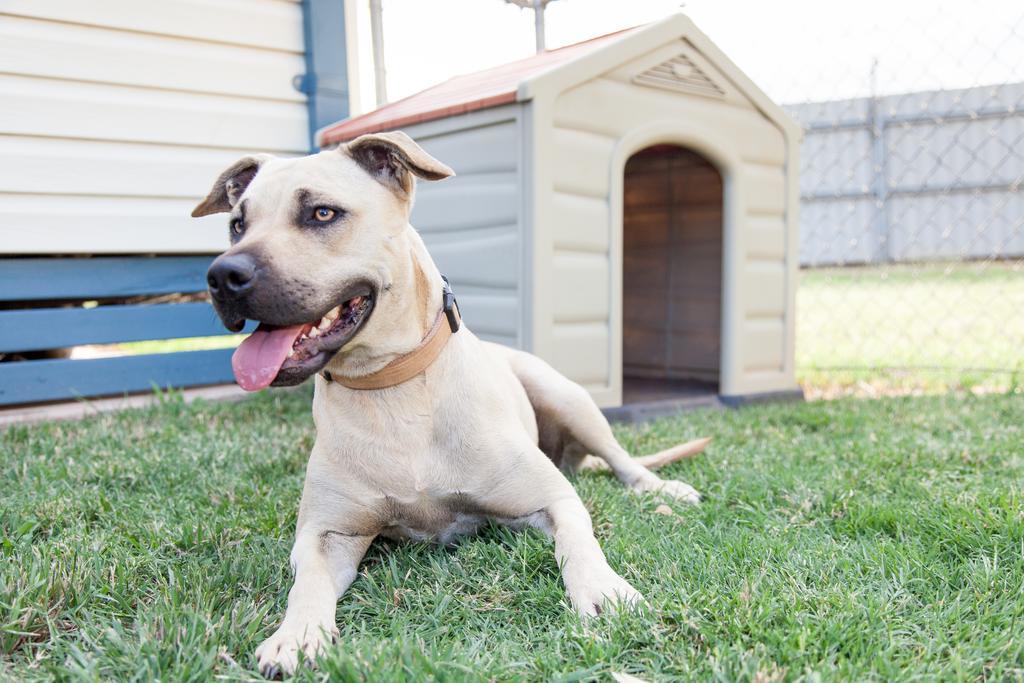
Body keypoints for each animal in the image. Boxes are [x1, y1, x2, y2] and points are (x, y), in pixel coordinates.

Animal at [190, 133, 704, 679]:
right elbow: (307, 580)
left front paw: (604, 590)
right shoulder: (325, 533)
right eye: (237, 224)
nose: (223, 275)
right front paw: (297, 633)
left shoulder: (553, 499)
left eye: (322, 213)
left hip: (566, 397)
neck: (392, 388)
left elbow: (578, 539)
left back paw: (662, 489)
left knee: (623, 461)